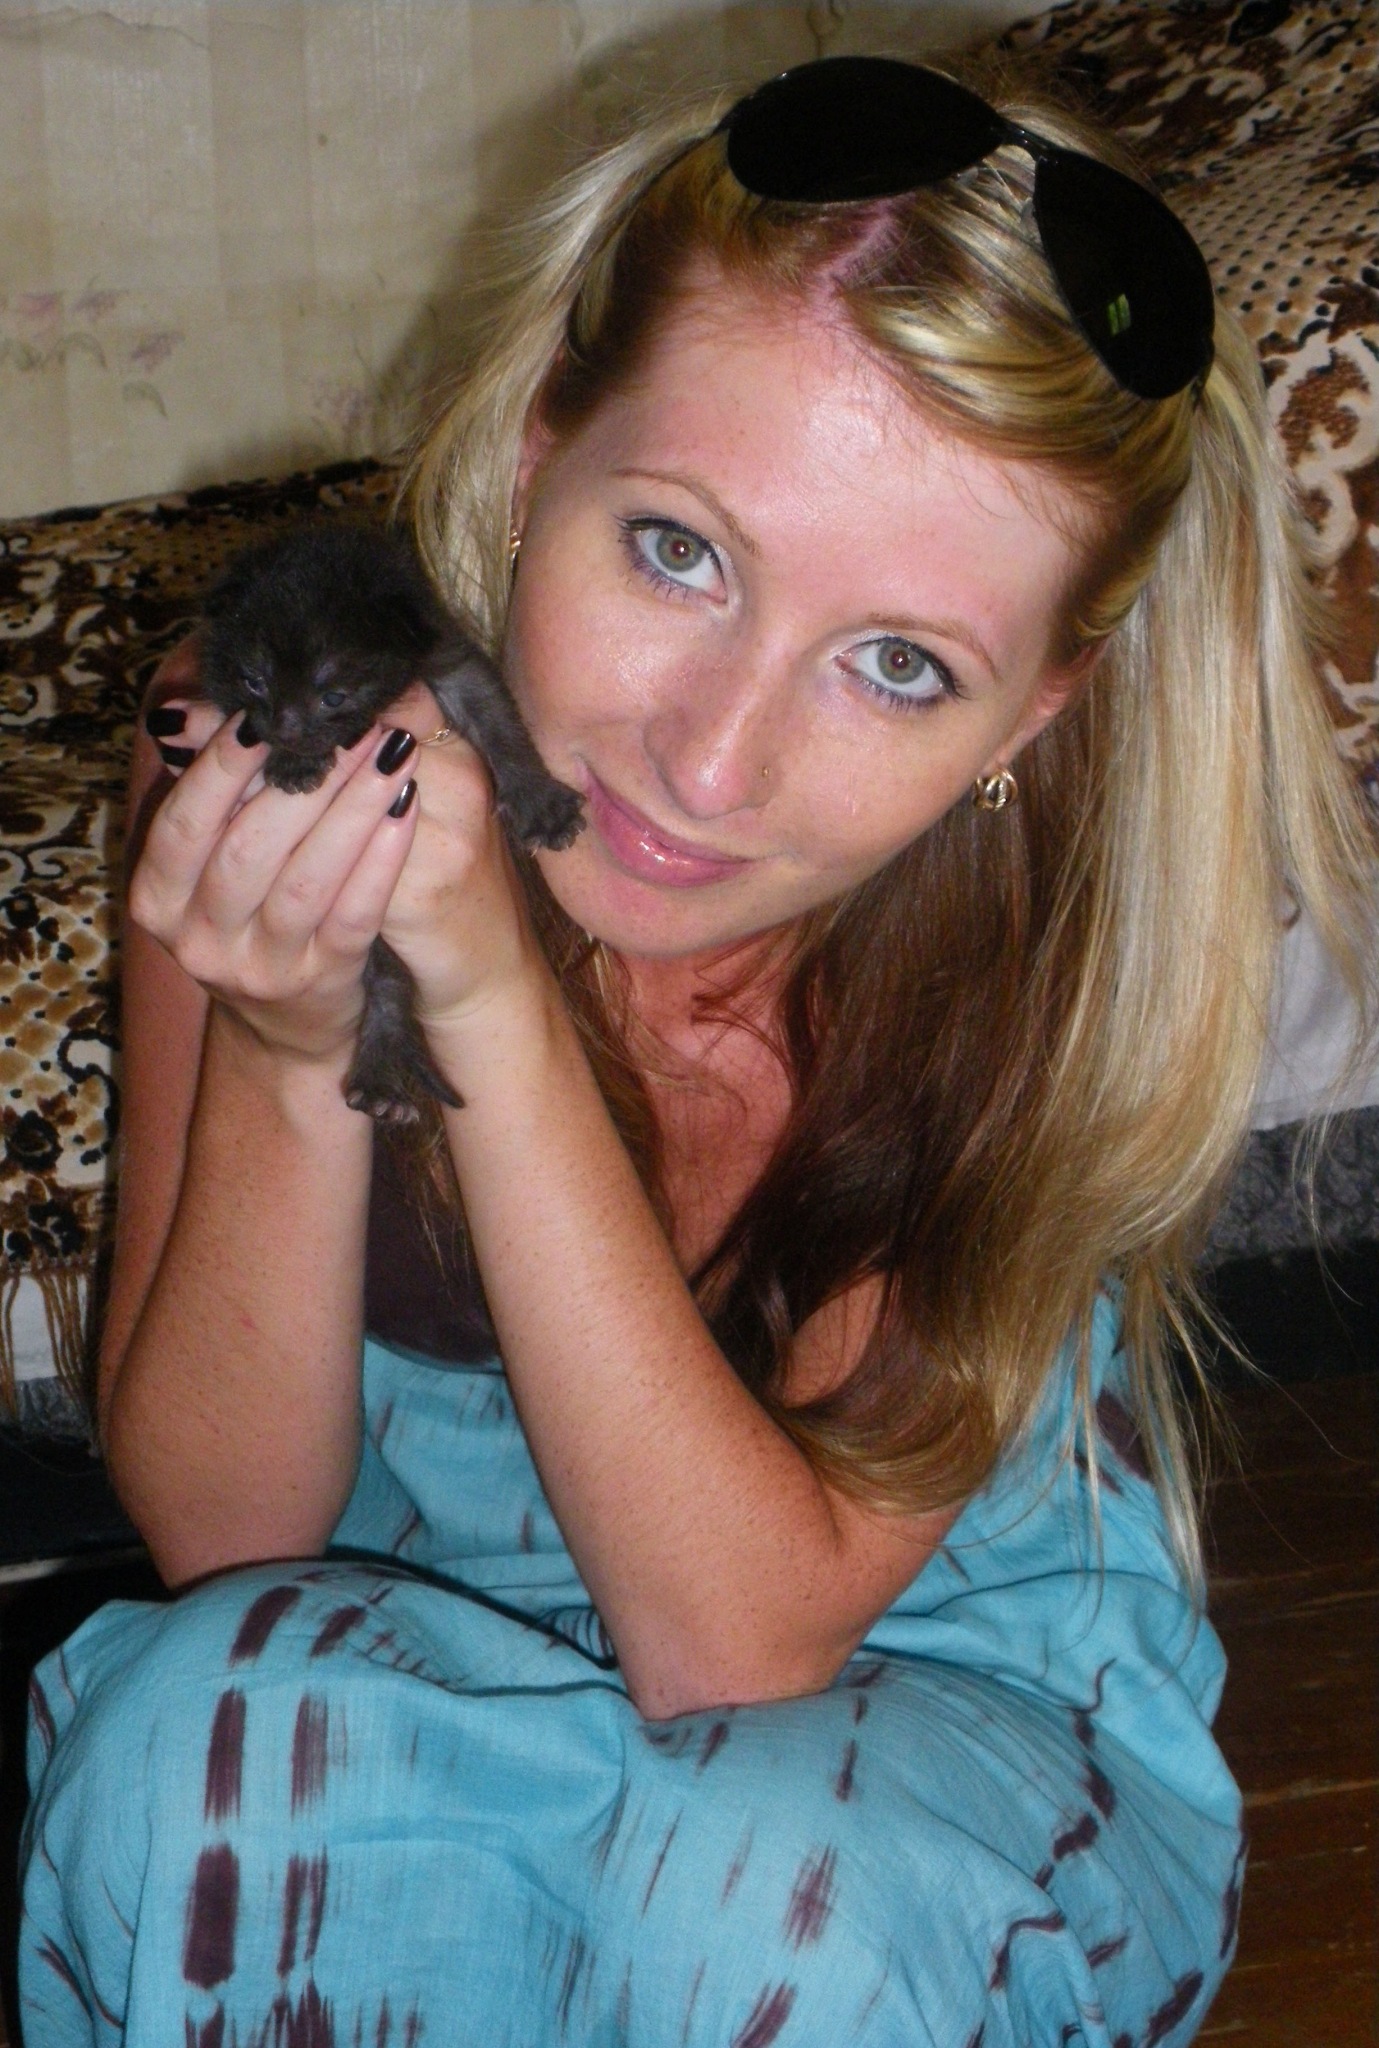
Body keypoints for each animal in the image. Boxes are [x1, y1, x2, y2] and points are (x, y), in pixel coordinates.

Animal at [199, 520, 585, 1124]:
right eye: (254, 681)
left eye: (333, 694)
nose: (284, 728)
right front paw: (294, 762)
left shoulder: (447, 655)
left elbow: (497, 717)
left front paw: (540, 799)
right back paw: (381, 1078)